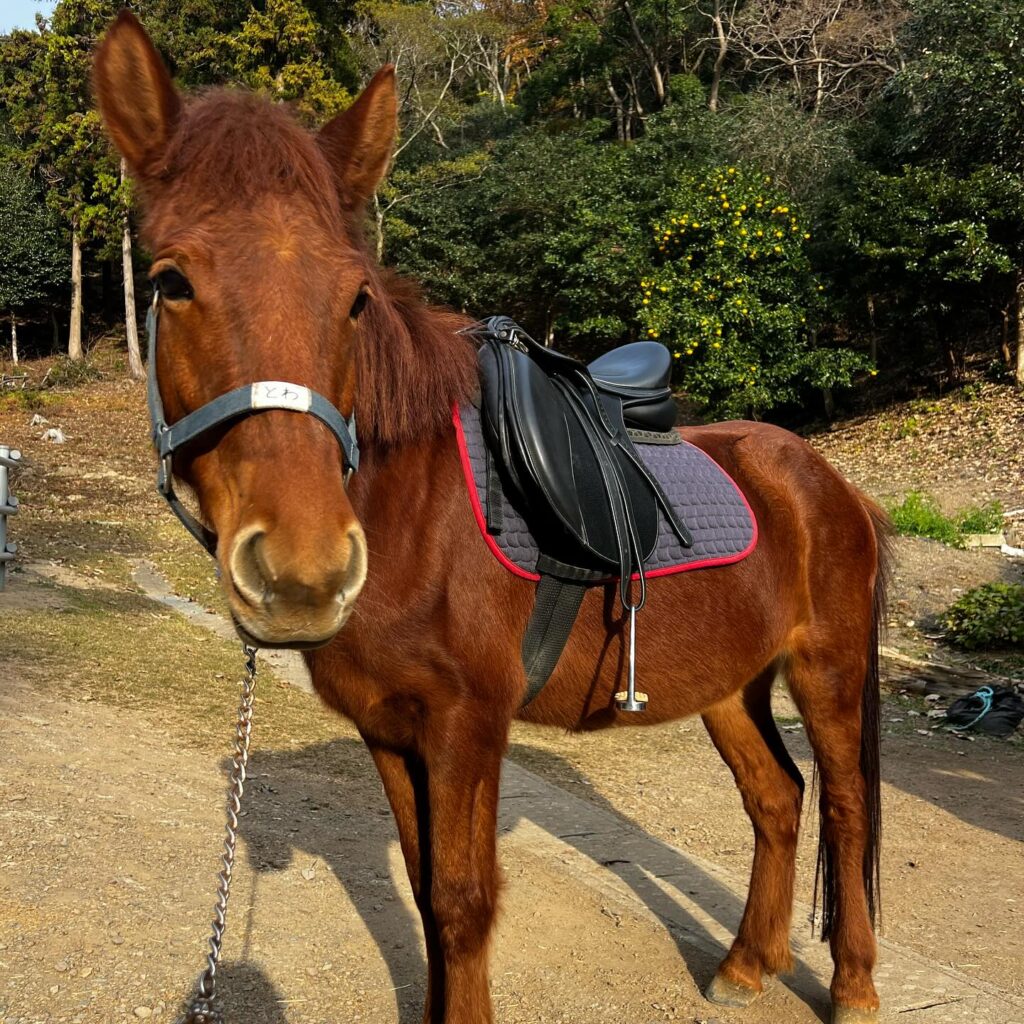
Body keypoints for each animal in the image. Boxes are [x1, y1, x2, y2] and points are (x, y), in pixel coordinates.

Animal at [94, 13, 890, 1024]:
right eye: (170, 283)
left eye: (356, 297)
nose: (305, 573)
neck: (415, 512)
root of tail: (831, 482)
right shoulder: (390, 729)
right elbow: (427, 893)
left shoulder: (467, 725)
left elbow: (465, 901)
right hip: (731, 685)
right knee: (777, 798)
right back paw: (748, 965)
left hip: (827, 672)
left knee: (846, 809)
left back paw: (855, 986)